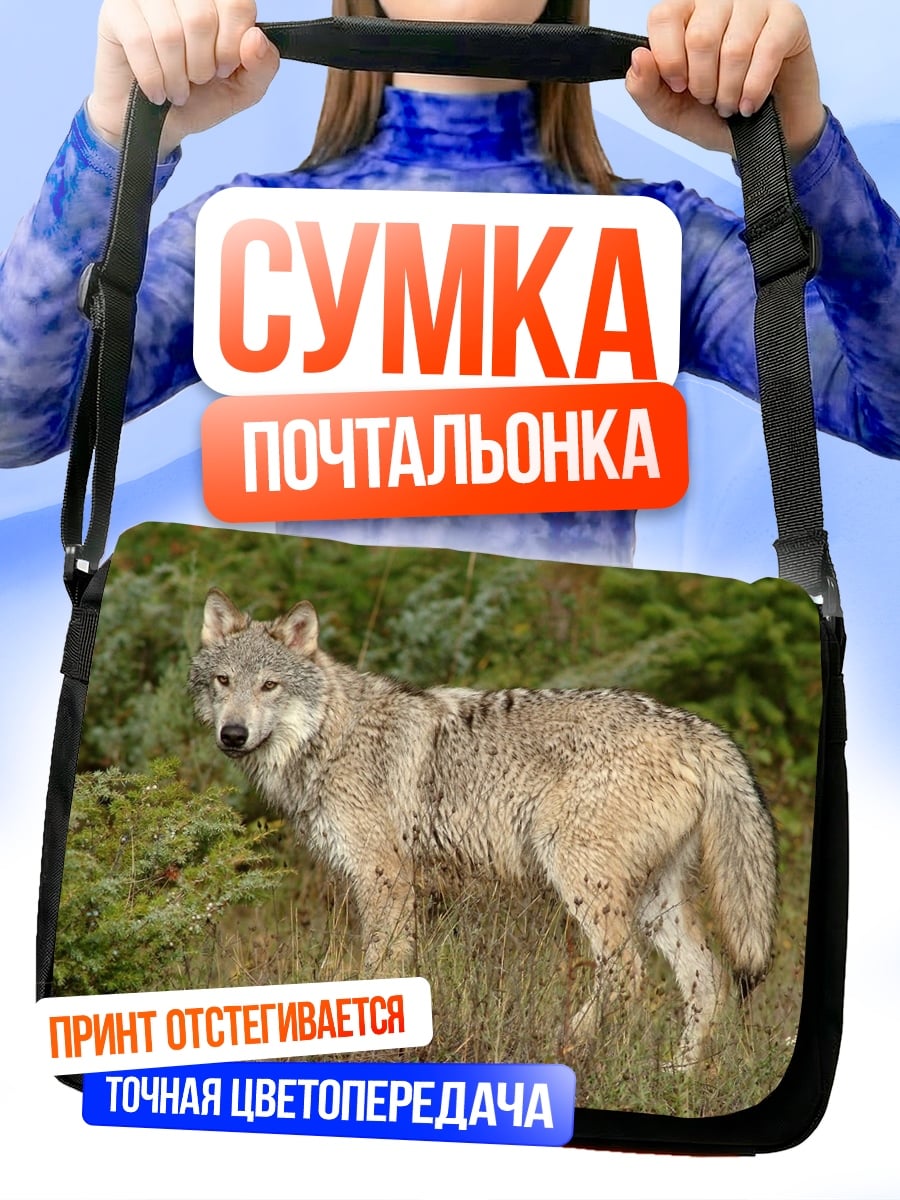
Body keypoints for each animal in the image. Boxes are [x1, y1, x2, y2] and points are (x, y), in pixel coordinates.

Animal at [189, 587, 778, 1065]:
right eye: (224, 681)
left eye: (270, 685)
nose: (233, 734)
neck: (330, 737)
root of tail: (696, 727)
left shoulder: (385, 878)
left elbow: (378, 968)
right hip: (655, 902)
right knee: (708, 981)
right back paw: (678, 1079)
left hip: (583, 881)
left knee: (626, 972)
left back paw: (574, 1043)